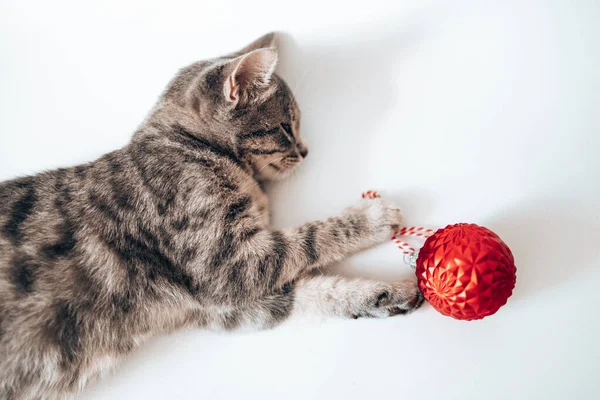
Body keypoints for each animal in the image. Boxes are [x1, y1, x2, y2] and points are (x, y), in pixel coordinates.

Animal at [0, 34, 422, 400]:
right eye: (285, 127)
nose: (305, 151)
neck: (188, 146)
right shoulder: (228, 265)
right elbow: (309, 238)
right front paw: (372, 217)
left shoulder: (222, 304)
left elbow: (315, 292)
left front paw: (386, 293)